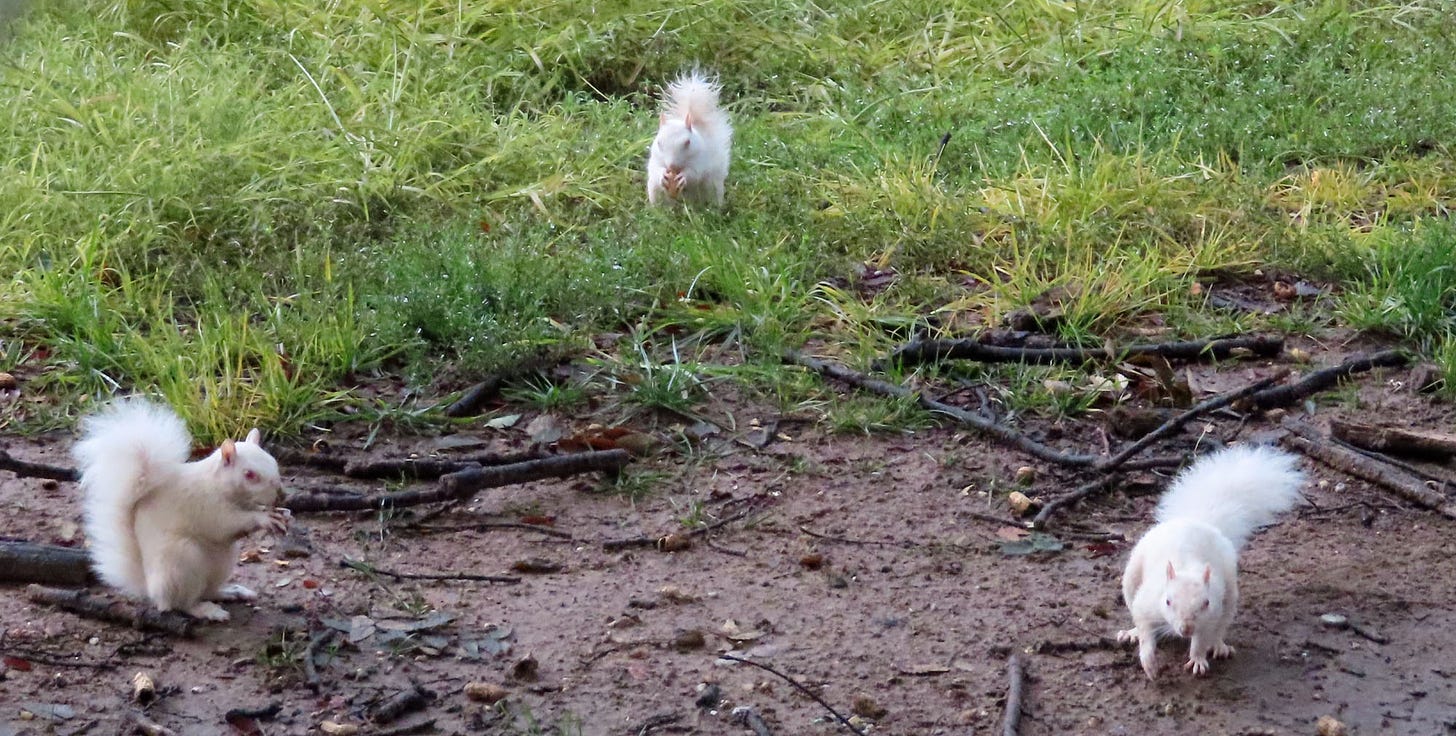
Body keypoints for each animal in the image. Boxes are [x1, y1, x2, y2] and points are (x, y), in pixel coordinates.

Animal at [72, 396, 294, 620]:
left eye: (274, 462)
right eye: (249, 474)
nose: (281, 496)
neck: (218, 484)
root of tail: (151, 588)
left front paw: (283, 515)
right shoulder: (206, 506)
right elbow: (226, 524)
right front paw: (264, 518)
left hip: (222, 562)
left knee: (208, 590)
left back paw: (231, 591)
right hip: (183, 561)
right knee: (181, 603)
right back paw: (206, 610)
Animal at [646, 69, 733, 206]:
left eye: (688, 142)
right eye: (659, 143)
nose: (672, 166)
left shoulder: (701, 160)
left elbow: (695, 173)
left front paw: (684, 177)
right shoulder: (655, 158)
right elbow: (655, 170)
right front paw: (663, 175)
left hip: (713, 188)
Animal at [1112, 443, 1310, 676]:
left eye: (1205, 603)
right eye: (1168, 601)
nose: (1187, 628)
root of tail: (1196, 521)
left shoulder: (1211, 613)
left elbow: (1201, 640)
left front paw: (1197, 659)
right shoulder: (1146, 603)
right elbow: (1144, 629)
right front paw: (1149, 661)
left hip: (1229, 595)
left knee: (1220, 626)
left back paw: (1219, 645)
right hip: (1132, 575)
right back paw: (1131, 633)